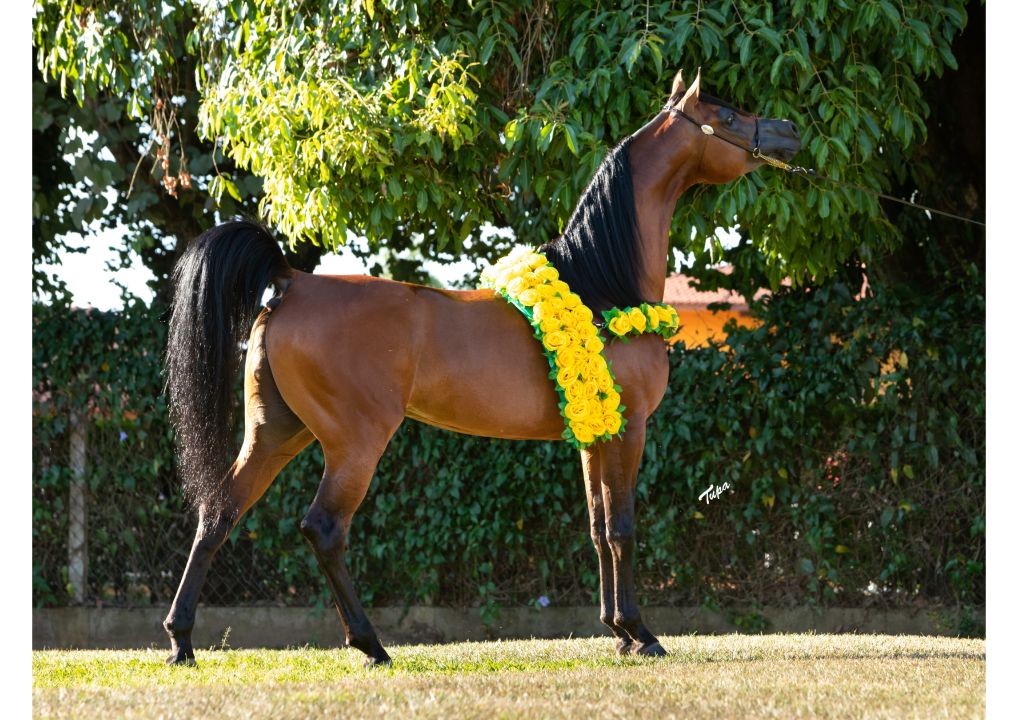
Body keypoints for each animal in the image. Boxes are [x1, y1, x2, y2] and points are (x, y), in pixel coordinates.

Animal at [162, 67, 802, 663]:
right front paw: (640, 633)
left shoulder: (595, 436)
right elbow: (623, 527)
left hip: (274, 432)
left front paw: (617, 632)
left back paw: (181, 640)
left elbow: (598, 528)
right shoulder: (630, 430)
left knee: (218, 511)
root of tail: (292, 281)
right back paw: (370, 644)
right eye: (727, 114)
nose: (790, 131)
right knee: (324, 528)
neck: (604, 287)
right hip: (354, 444)